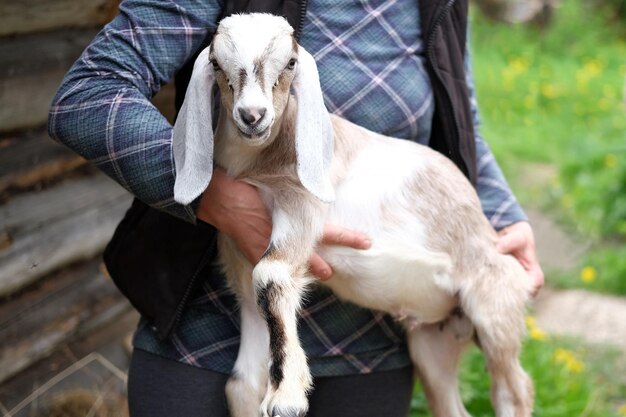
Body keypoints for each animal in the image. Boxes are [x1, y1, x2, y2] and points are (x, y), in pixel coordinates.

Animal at [171, 13, 532, 416]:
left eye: (290, 62)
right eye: (217, 63)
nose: (253, 116)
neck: (257, 161)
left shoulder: (300, 206)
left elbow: (272, 276)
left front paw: (287, 397)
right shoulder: (238, 252)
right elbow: (242, 382)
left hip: (494, 309)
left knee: (514, 390)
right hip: (432, 342)